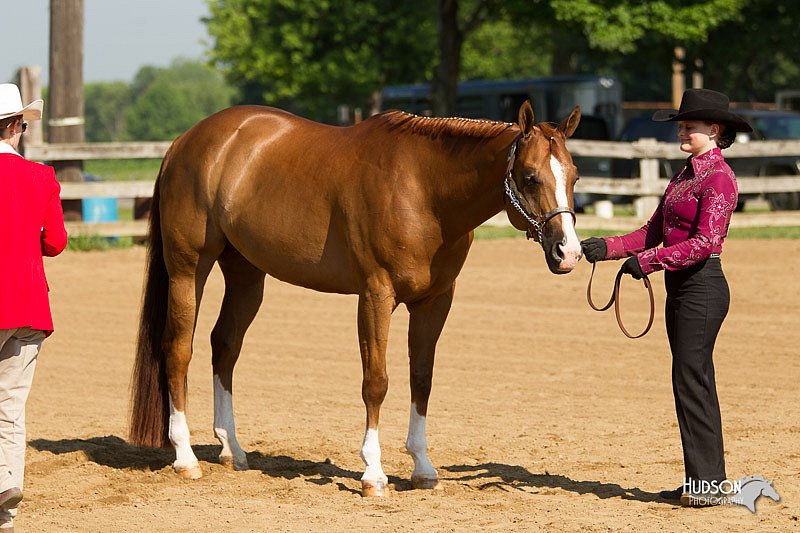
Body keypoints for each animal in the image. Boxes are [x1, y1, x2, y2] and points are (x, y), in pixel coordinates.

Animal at [130, 100, 580, 494]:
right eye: (529, 175)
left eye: (574, 176)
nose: (569, 252)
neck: (423, 189)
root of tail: (185, 141)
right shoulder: (376, 295)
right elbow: (376, 382)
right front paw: (373, 475)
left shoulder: (435, 301)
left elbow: (422, 378)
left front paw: (422, 468)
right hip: (189, 267)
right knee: (178, 349)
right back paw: (185, 457)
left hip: (246, 274)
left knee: (224, 346)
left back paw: (232, 451)